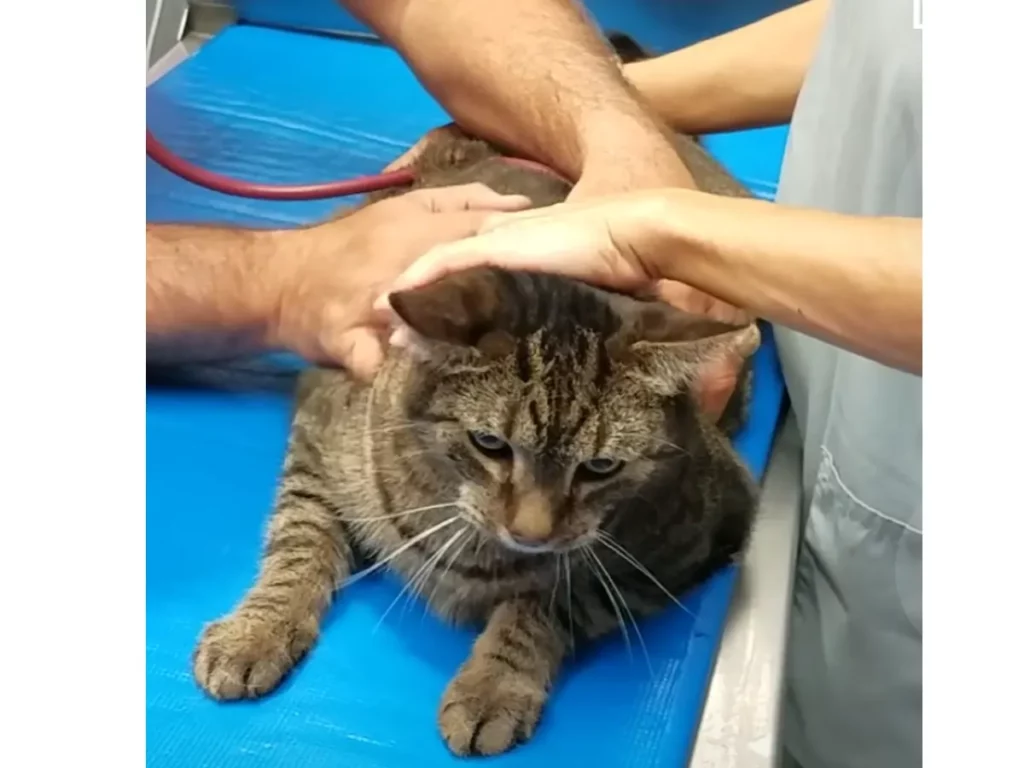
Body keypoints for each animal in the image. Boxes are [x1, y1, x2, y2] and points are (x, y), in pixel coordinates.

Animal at [193, 31, 761, 757]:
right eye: (489, 444)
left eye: (601, 466)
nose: (532, 533)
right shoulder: (318, 429)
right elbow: (300, 533)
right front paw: (258, 627)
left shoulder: (703, 533)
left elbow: (553, 603)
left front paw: (494, 683)